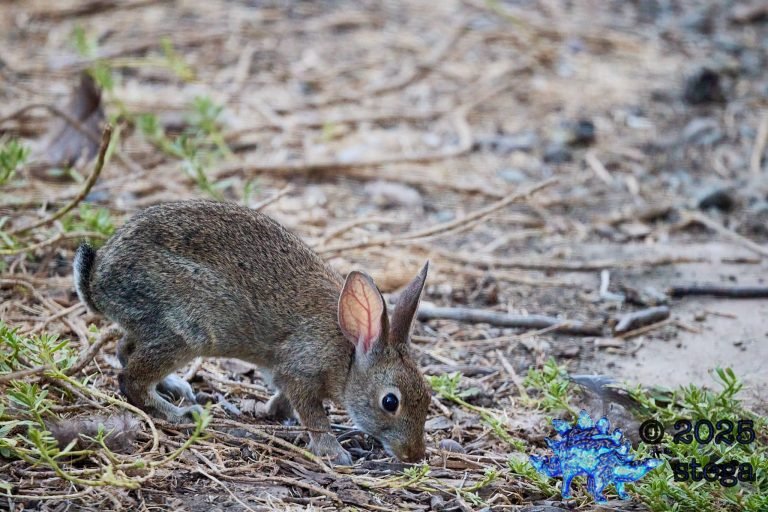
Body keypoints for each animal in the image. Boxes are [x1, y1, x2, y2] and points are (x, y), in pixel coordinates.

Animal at [73, 200, 432, 465]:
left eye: (428, 396)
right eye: (390, 402)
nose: (414, 455)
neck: (349, 354)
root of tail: (96, 279)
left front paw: (272, 412)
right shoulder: (301, 371)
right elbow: (314, 416)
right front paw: (334, 452)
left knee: (124, 349)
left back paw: (175, 387)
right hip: (186, 330)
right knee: (130, 380)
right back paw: (182, 414)